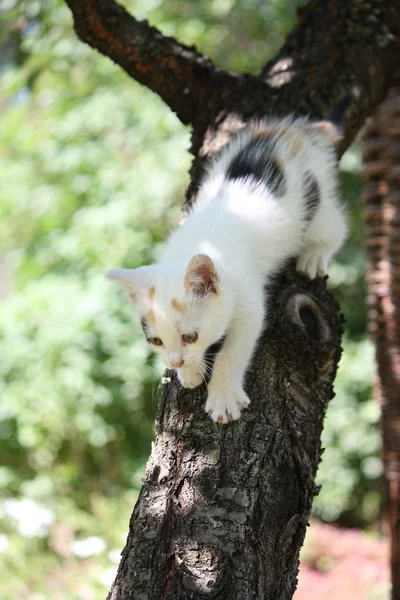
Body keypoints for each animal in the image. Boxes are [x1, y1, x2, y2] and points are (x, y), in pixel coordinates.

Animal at [108, 116, 346, 422]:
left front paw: (222, 398)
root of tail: (295, 131)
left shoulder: (249, 300)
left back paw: (314, 255)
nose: (176, 361)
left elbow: (233, 350)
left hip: (313, 206)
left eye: (190, 336)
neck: (196, 244)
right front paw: (191, 373)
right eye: (156, 341)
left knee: (336, 225)